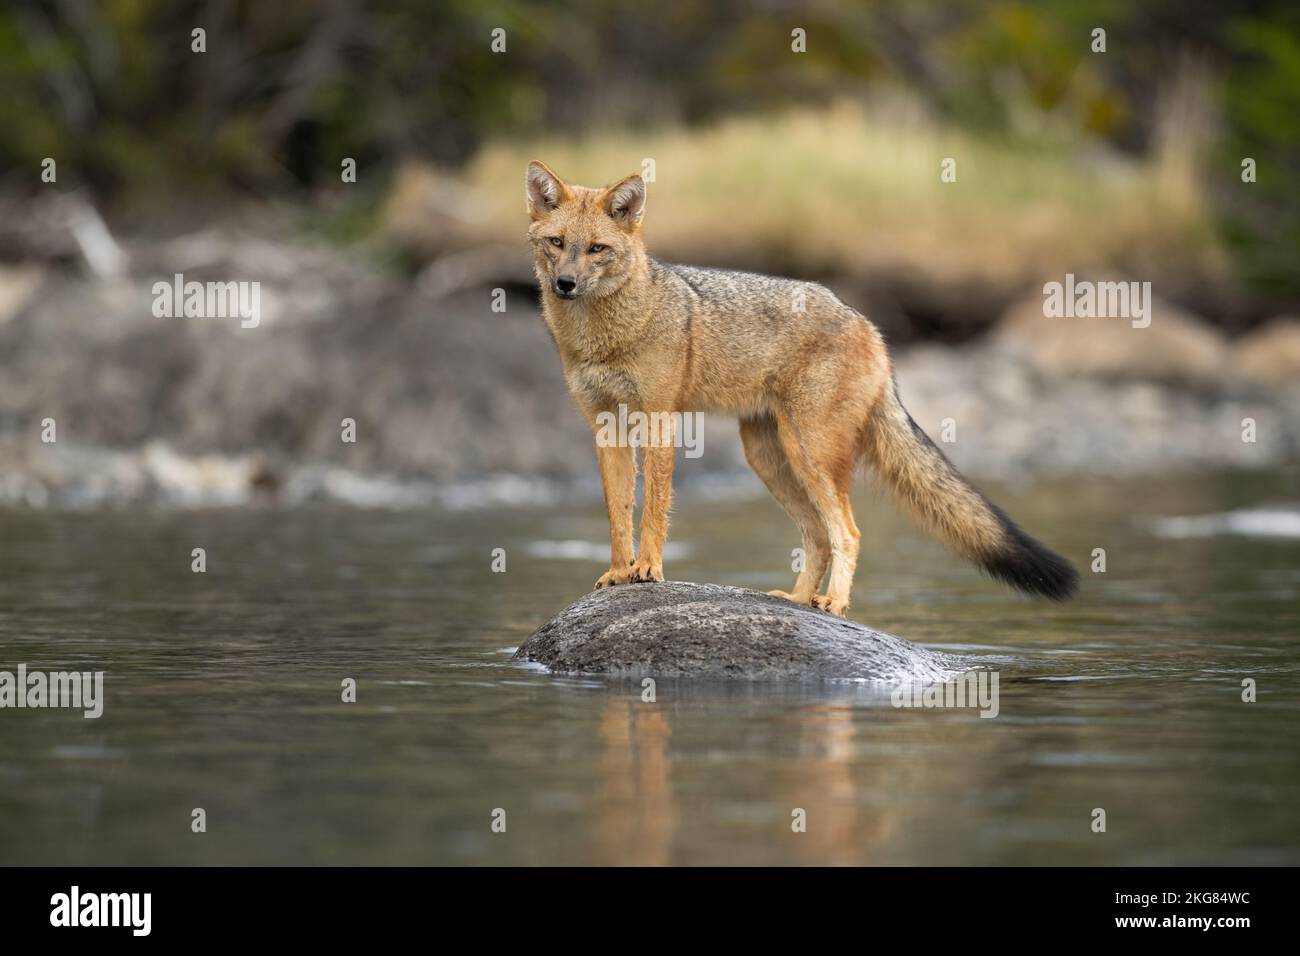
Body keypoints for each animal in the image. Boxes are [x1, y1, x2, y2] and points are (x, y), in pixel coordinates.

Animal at [525, 160, 1078, 616]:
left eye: (597, 249)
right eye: (557, 243)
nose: (565, 284)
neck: (602, 337)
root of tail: (868, 324)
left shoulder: (659, 419)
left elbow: (654, 510)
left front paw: (648, 569)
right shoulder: (606, 426)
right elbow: (618, 513)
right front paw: (620, 572)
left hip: (809, 453)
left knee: (846, 532)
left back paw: (834, 603)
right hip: (770, 457)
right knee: (817, 535)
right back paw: (797, 599)